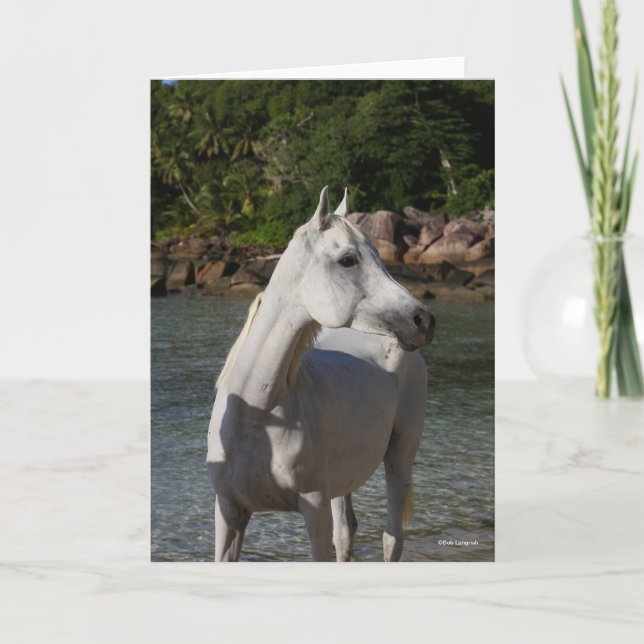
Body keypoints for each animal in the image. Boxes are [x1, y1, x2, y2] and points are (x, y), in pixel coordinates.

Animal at [206, 187, 435, 561]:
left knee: (391, 538)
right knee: (346, 533)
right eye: (348, 259)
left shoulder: (314, 508)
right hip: (342, 483)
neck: (259, 413)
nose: (424, 320)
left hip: (400, 457)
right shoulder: (229, 511)